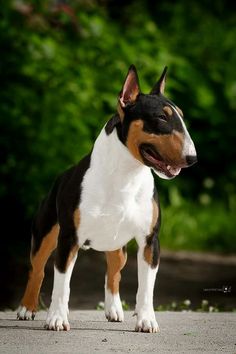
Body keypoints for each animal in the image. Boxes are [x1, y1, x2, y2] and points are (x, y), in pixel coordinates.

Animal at [17, 64, 197, 332]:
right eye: (161, 117)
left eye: (181, 117)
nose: (192, 158)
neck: (126, 175)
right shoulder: (69, 239)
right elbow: (62, 282)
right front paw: (57, 319)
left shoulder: (150, 241)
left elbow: (146, 287)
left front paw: (146, 320)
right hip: (45, 233)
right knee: (37, 269)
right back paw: (27, 309)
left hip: (118, 246)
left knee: (113, 272)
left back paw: (114, 309)